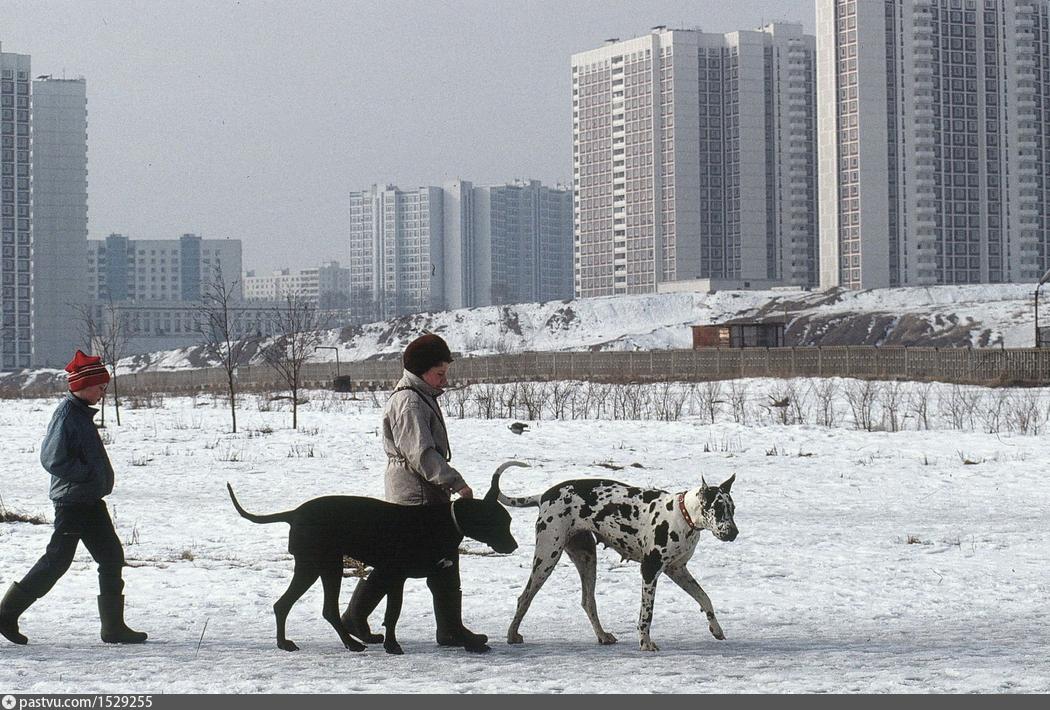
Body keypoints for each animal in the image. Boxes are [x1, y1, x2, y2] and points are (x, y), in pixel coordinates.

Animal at [229, 460, 525, 655]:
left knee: (301, 607)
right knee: (306, 607)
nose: (514, 545)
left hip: (323, 567)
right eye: (500, 523)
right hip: (320, 566)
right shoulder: (397, 577)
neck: (445, 522)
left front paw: (469, 641)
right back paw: (343, 643)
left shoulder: (436, 574)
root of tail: (294, 513)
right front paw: (392, 646)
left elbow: (450, 611)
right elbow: (393, 613)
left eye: (508, 522)